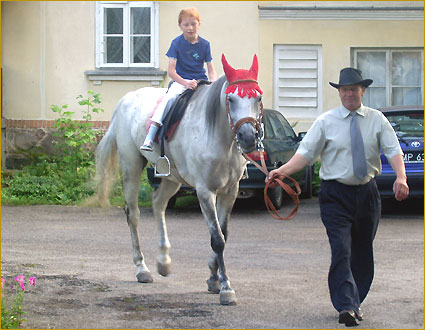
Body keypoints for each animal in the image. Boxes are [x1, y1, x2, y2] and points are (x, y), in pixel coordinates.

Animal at [94, 53, 264, 304]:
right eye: (230, 99)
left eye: (258, 97)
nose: (248, 138)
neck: (218, 135)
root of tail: (126, 99)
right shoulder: (205, 191)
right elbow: (217, 238)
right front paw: (226, 288)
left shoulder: (230, 191)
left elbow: (223, 233)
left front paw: (213, 279)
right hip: (131, 168)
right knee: (133, 215)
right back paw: (142, 268)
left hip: (172, 177)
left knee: (158, 204)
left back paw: (163, 261)